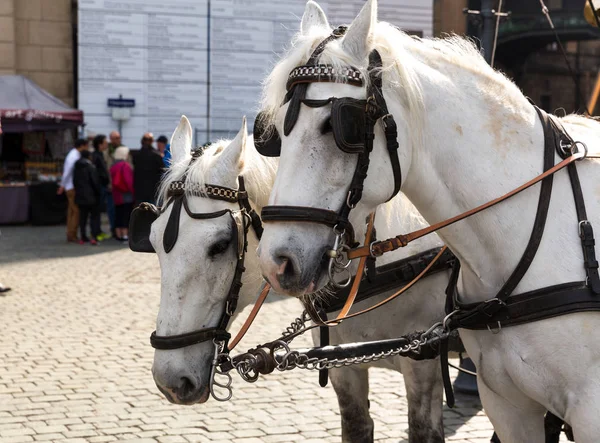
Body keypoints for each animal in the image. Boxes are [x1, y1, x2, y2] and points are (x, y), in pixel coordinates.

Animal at [151, 117, 454, 443]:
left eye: (220, 245)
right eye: (152, 241)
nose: (170, 380)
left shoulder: (423, 361)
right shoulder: (342, 366)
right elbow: (357, 425)